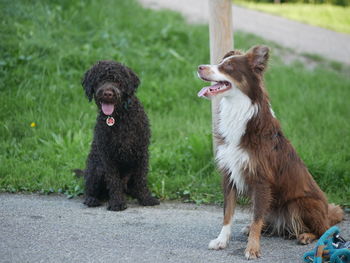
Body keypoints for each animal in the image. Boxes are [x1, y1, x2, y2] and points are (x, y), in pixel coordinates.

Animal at [76, 60, 161, 211]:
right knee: (89, 189)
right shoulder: (107, 156)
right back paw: (92, 199)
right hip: (96, 168)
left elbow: (141, 179)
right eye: (99, 80)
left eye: (118, 80)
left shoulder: (141, 152)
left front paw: (146, 198)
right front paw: (117, 202)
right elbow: (113, 180)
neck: (118, 116)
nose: (108, 93)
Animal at [198, 45, 344, 260]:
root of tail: (327, 212)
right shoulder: (229, 174)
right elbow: (228, 213)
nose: (199, 67)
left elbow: (256, 217)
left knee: (324, 229)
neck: (239, 111)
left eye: (229, 67)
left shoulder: (261, 180)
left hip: (301, 203)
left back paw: (306, 236)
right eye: (219, 63)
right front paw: (222, 240)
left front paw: (252, 248)